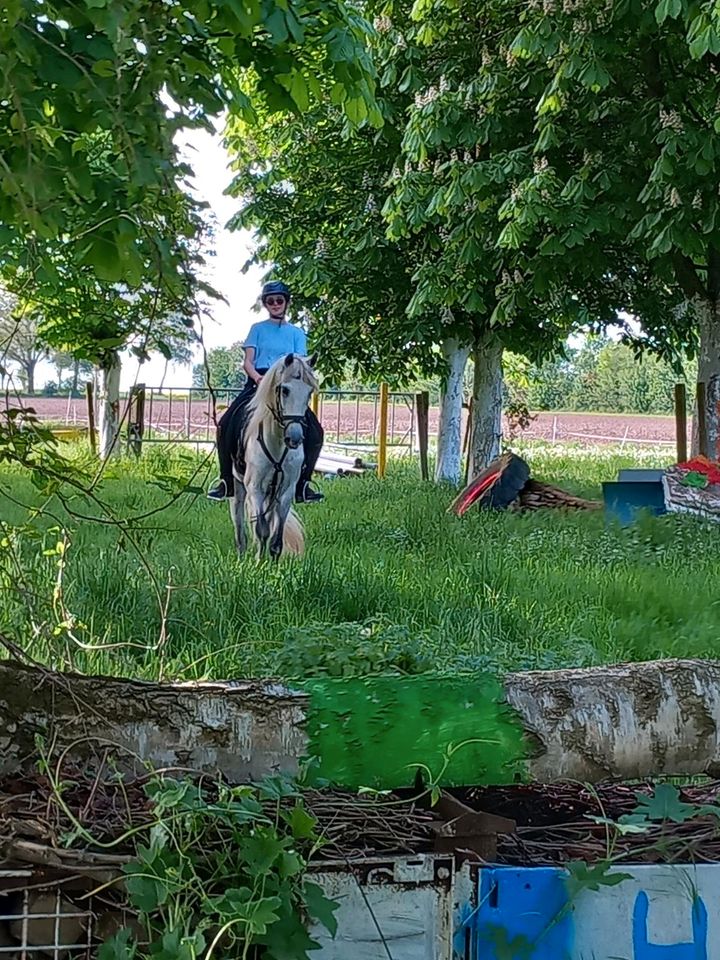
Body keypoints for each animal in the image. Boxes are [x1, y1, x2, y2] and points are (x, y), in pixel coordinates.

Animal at [231, 352, 318, 560]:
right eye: (284, 390)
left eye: (309, 392)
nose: (294, 438)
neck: (277, 443)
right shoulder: (255, 488)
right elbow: (261, 529)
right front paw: (259, 562)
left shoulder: (286, 489)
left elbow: (276, 534)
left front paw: (273, 562)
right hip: (238, 485)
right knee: (238, 515)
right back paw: (241, 555)